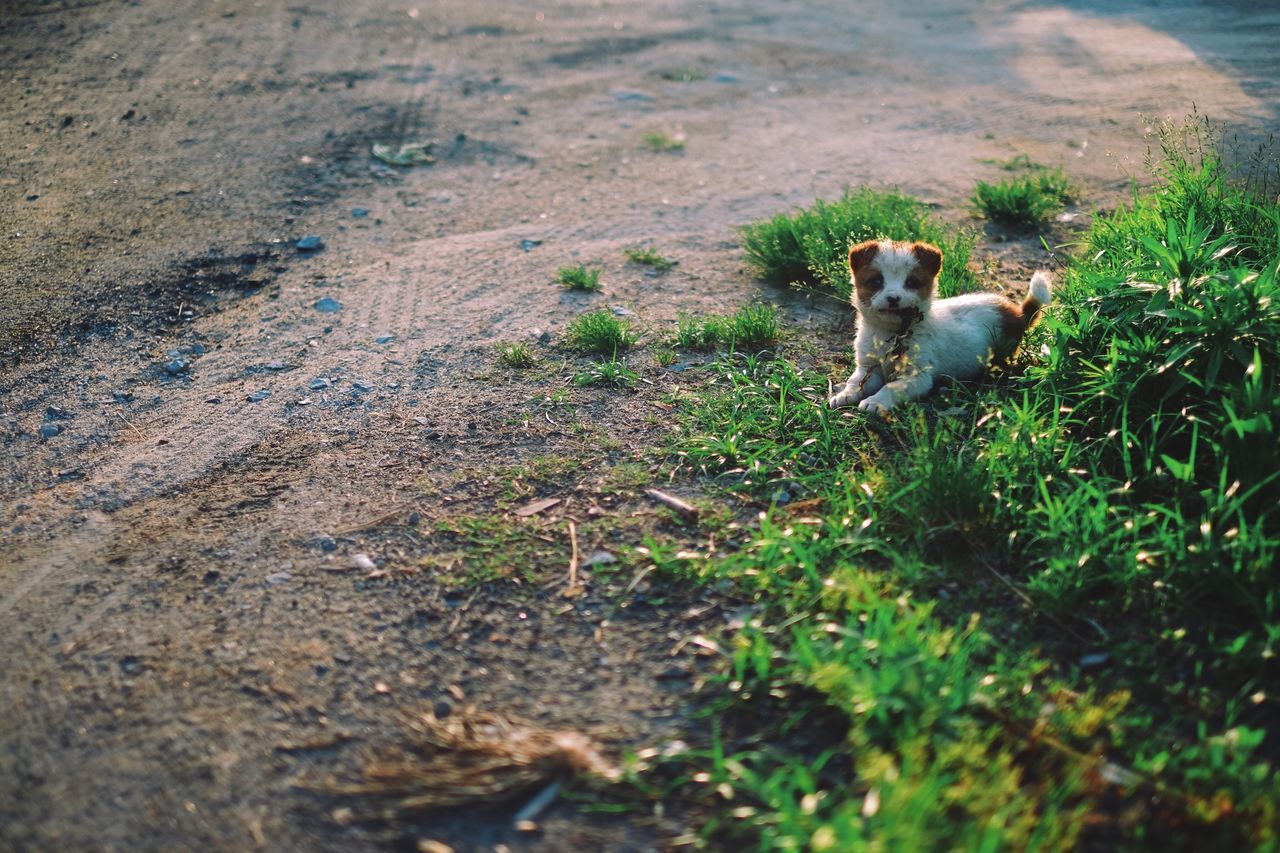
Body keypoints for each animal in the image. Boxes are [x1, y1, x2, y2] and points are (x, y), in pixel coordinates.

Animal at [829, 239, 1049, 412]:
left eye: (911, 282)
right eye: (876, 281)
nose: (893, 298)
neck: (890, 334)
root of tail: (1017, 314)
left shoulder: (918, 377)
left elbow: (890, 387)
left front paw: (875, 401)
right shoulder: (868, 367)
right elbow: (855, 381)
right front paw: (845, 394)